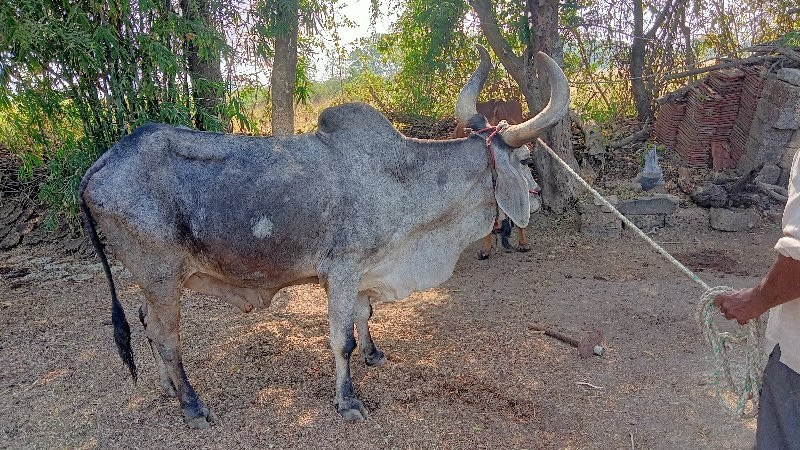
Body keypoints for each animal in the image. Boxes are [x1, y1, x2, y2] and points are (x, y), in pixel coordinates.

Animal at [79, 44, 568, 428]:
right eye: (526, 160)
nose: (540, 197)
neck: (399, 179)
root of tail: (103, 163)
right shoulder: (342, 269)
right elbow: (341, 338)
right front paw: (347, 401)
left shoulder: (366, 271)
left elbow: (364, 316)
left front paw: (374, 354)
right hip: (161, 277)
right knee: (167, 339)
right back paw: (193, 406)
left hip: (154, 282)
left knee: (146, 324)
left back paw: (169, 389)